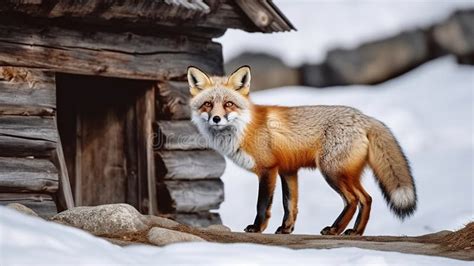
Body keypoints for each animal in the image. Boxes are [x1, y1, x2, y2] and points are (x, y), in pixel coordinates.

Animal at [187, 65, 416, 236]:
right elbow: (290, 204)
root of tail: (364, 117)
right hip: (346, 174)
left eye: (228, 104)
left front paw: (257, 228)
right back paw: (355, 231)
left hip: (332, 172)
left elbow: (263, 204)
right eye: (207, 104)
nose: (216, 119)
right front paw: (286, 229)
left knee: (353, 200)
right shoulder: (288, 170)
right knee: (366, 199)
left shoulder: (268, 169)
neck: (245, 128)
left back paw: (335, 230)